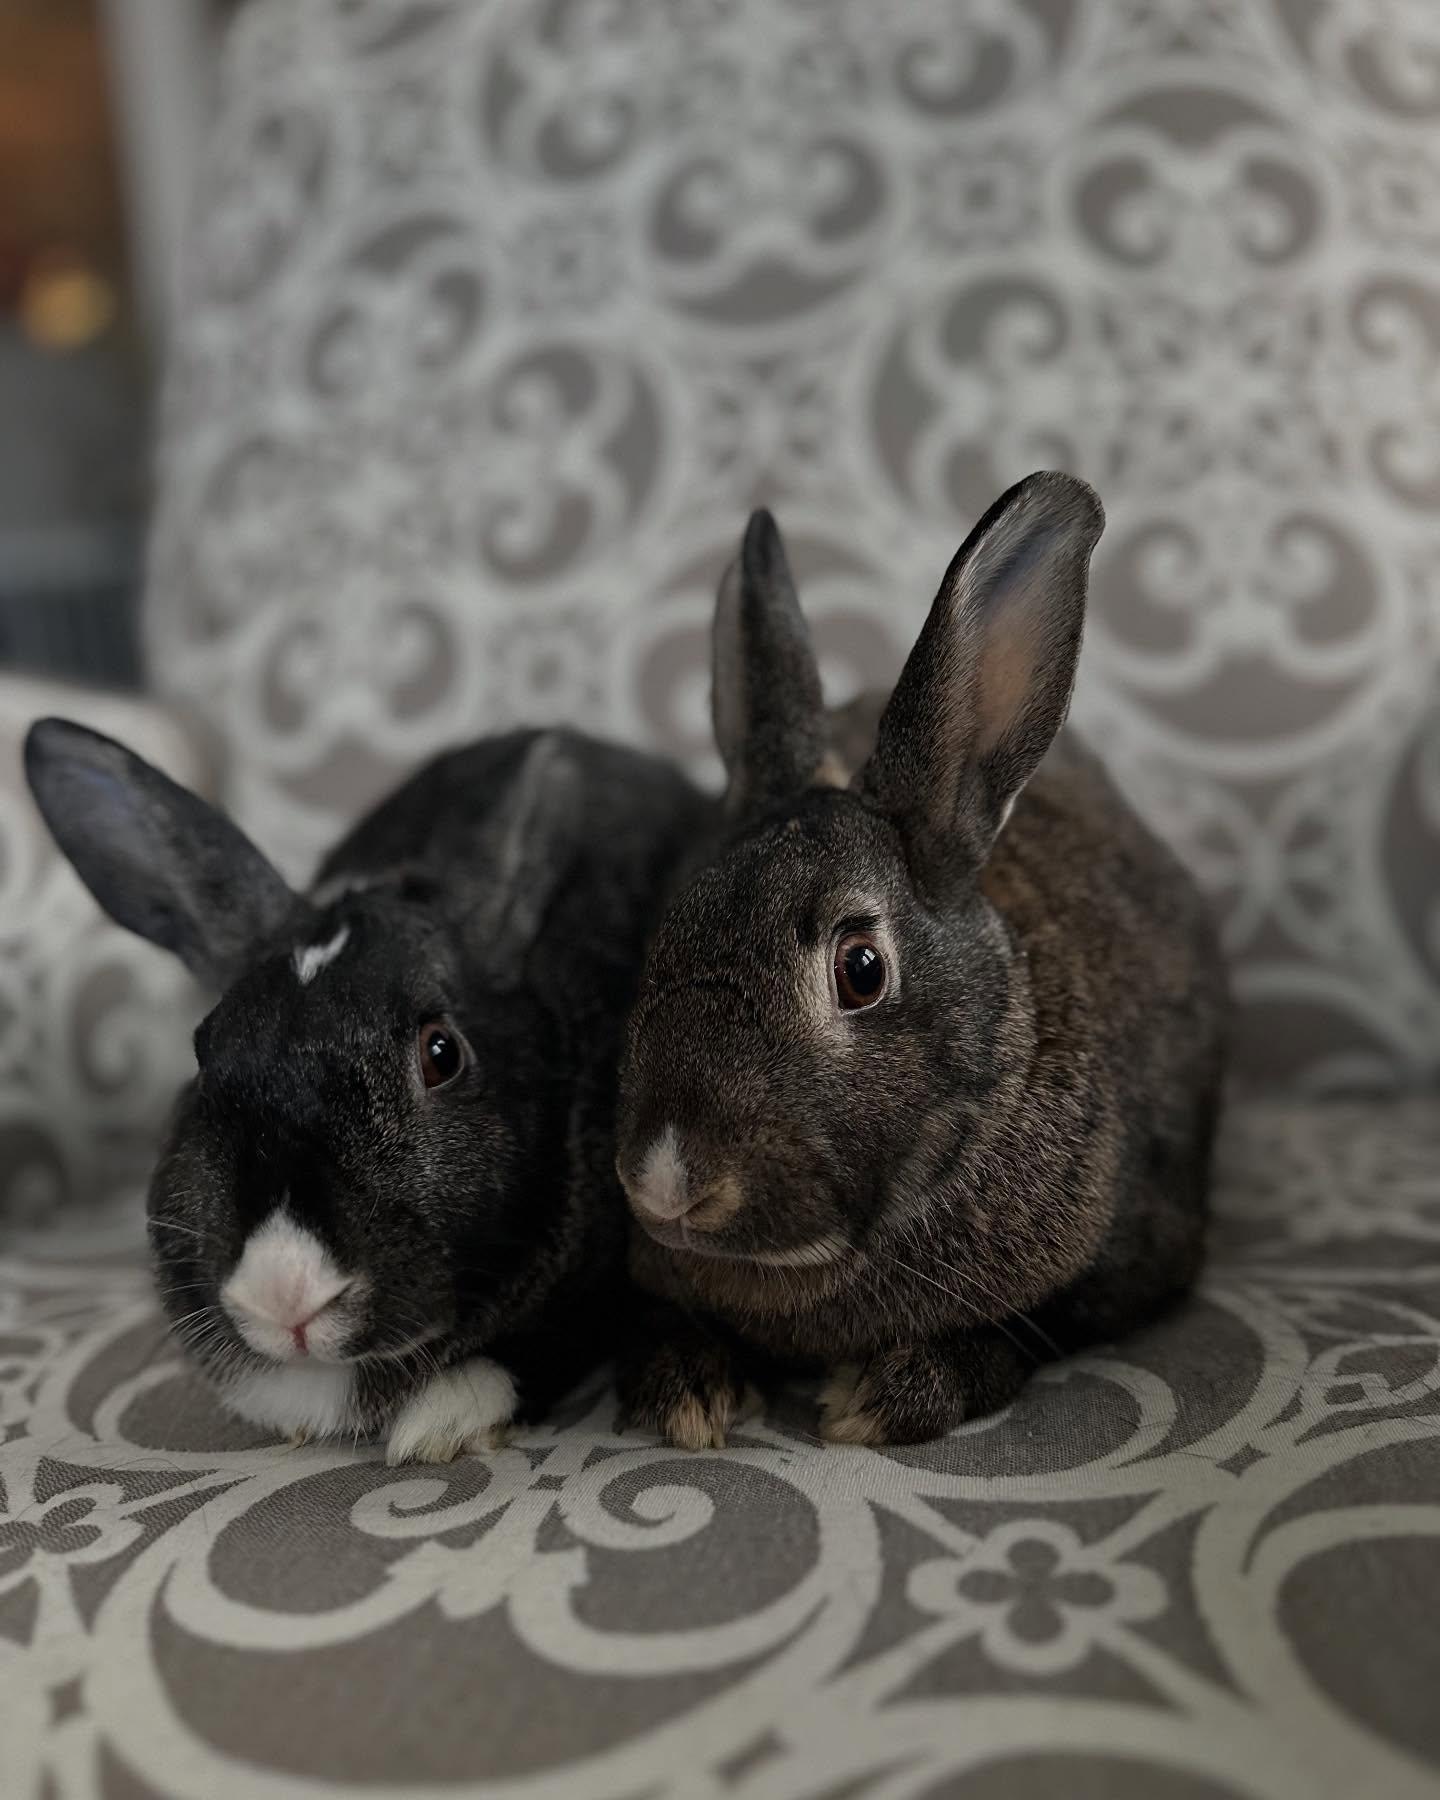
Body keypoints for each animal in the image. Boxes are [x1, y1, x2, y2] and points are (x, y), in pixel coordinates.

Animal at [613, 471, 1228, 1450]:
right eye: (664, 931)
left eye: (861, 969)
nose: (667, 1180)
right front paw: (687, 1392)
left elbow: (1024, 1332)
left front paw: (887, 1395)